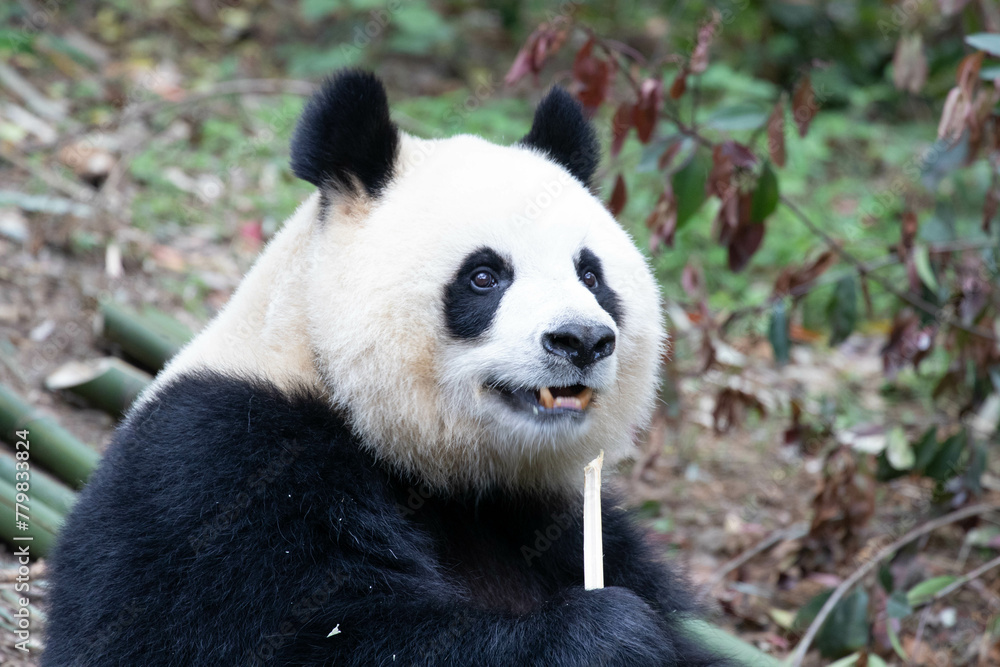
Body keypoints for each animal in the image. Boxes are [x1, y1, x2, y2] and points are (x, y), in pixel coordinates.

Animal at [44, 70, 729, 666]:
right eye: (485, 276)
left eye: (591, 276)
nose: (582, 340)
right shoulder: (222, 468)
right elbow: (304, 637)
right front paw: (611, 633)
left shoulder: (554, 516)